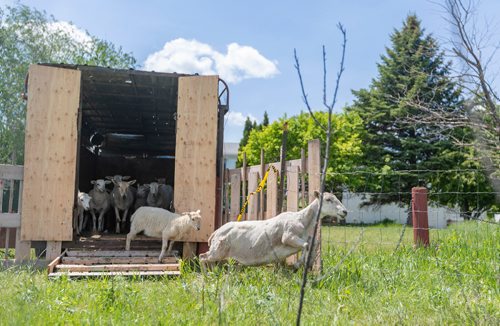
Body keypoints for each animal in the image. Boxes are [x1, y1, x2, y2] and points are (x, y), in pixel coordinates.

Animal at [20, 64, 228, 258]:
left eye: (126, 185)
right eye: (114, 182)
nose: (199, 229)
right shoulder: (111, 209)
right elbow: (114, 220)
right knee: (126, 233)